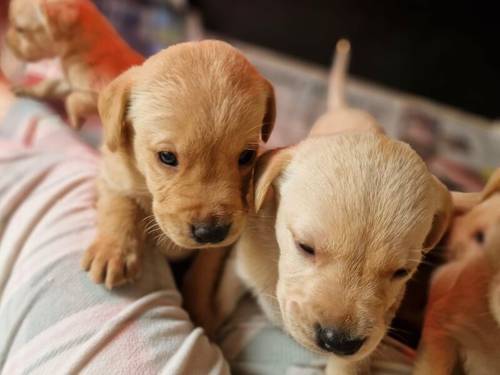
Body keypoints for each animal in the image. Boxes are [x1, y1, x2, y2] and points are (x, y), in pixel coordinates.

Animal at [4, 0, 144, 129]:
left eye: (20, 29)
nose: (6, 42)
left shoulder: (96, 96)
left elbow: (72, 100)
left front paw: (74, 122)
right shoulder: (67, 82)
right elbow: (47, 87)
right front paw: (27, 90)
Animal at [82, 39, 278, 290]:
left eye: (246, 156)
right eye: (167, 156)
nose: (211, 233)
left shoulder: (220, 245)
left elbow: (203, 273)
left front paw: (198, 301)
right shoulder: (112, 174)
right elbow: (119, 204)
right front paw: (113, 251)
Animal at [186, 39, 452, 374]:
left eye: (402, 272)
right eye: (305, 247)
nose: (338, 341)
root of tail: (345, 108)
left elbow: (351, 362)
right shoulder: (238, 268)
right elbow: (221, 302)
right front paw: (208, 327)